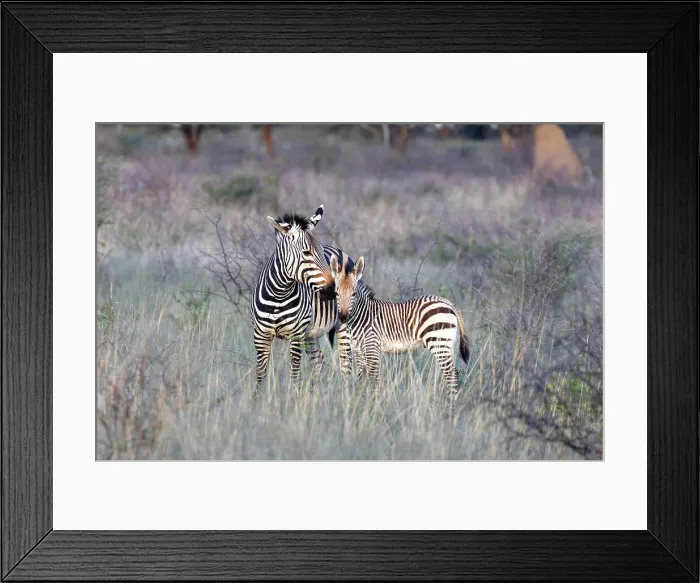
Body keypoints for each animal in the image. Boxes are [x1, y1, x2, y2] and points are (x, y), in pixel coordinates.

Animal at [250, 205, 355, 395]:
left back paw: (346, 395)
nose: (332, 291)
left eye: (321, 251)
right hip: (311, 334)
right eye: (306, 252)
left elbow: (295, 373)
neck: (278, 294)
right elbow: (260, 374)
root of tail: (340, 251)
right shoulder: (260, 334)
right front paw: (256, 400)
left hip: (343, 324)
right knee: (319, 360)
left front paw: (295, 399)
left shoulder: (296, 335)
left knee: (345, 363)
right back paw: (318, 393)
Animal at [329, 255, 470, 395]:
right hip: (446, 344)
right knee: (453, 373)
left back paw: (450, 401)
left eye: (354, 294)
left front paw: (373, 400)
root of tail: (448, 303)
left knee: (451, 375)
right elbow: (361, 380)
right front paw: (359, 399)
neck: (362, 316)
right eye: (336, 293)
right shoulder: (359, 351)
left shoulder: (372, 349)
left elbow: (373, 380)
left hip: (439, 343)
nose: (343, 318)